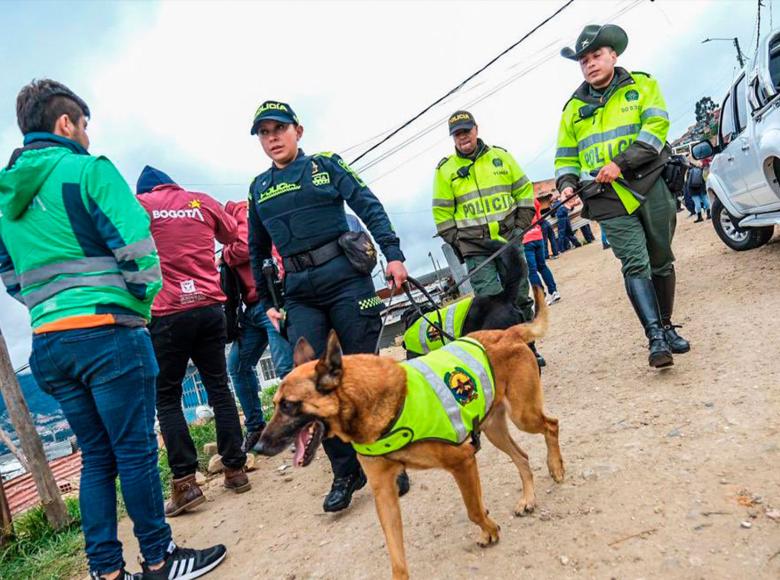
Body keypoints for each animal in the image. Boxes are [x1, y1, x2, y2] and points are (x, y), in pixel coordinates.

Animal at [258, 286, 568, 580]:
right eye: (275, 404)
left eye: (288, 405)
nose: (258, 447)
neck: (372, 406)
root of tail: (507, 333)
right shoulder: (384, 491)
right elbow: (395, 551)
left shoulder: (463, 461)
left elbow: (473, 509)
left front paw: (489, 530)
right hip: (495, 430)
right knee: (522, 456)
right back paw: (528, 499)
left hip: (523, 416)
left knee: (551, 425)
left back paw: (556, 468)